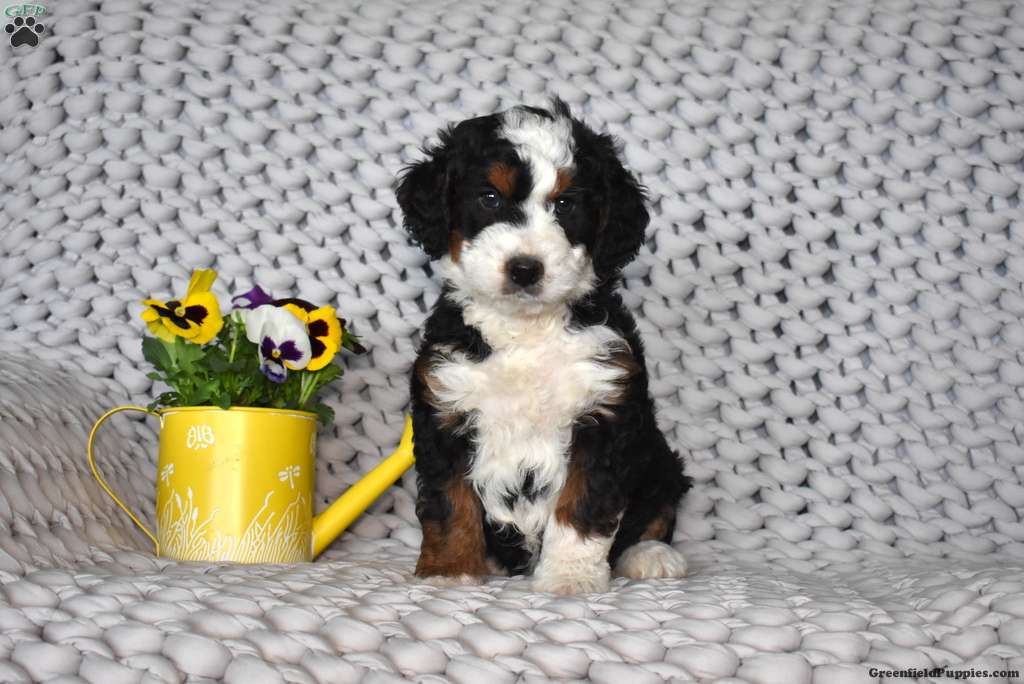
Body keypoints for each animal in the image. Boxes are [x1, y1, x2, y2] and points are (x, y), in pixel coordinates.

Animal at [396, 99, 691, 594]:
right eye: (489, 198)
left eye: (566, 204)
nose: (524, 268)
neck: (526, 331)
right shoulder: (446, 409)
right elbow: (448, 502)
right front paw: (450, 569)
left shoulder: (603, 412)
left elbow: (583, 504)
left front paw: (570, 577)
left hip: (659, 458)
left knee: (657, 511)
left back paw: (650, 555)